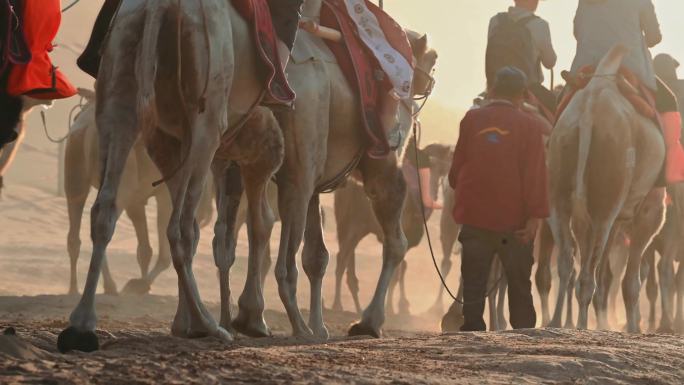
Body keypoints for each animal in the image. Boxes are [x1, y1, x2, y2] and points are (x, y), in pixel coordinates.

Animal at [65, 88, 214, 296]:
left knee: (75, 232)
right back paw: (107, 286)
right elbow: (164, 253)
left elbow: (144, 249)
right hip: (119, 182)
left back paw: (75, 288)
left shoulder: (136, 201)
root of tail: (87, 129)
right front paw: (140, 285)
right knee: (102, 224)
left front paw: (142, 284)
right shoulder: (163, 196)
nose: (202, 218)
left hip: (75, 172)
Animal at [332, 143, 454, 316]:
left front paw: (400, 305)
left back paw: (356, 307)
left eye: (445, 167)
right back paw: (338, 305)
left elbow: (401, 268)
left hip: (351, 225)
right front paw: (392, 307)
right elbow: (396, 272)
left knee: (347, 259)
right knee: (342, 259)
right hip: (354, 225)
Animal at [548, 45, 664, 332]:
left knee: (568, 261)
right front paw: (633, 328)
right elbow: (631, 279)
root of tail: (590, 110)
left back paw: (557, 322)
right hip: (609, 183)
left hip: (559, 179)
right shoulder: (650, 210)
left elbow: (606, 273)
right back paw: (580, 325)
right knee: (588, 274)